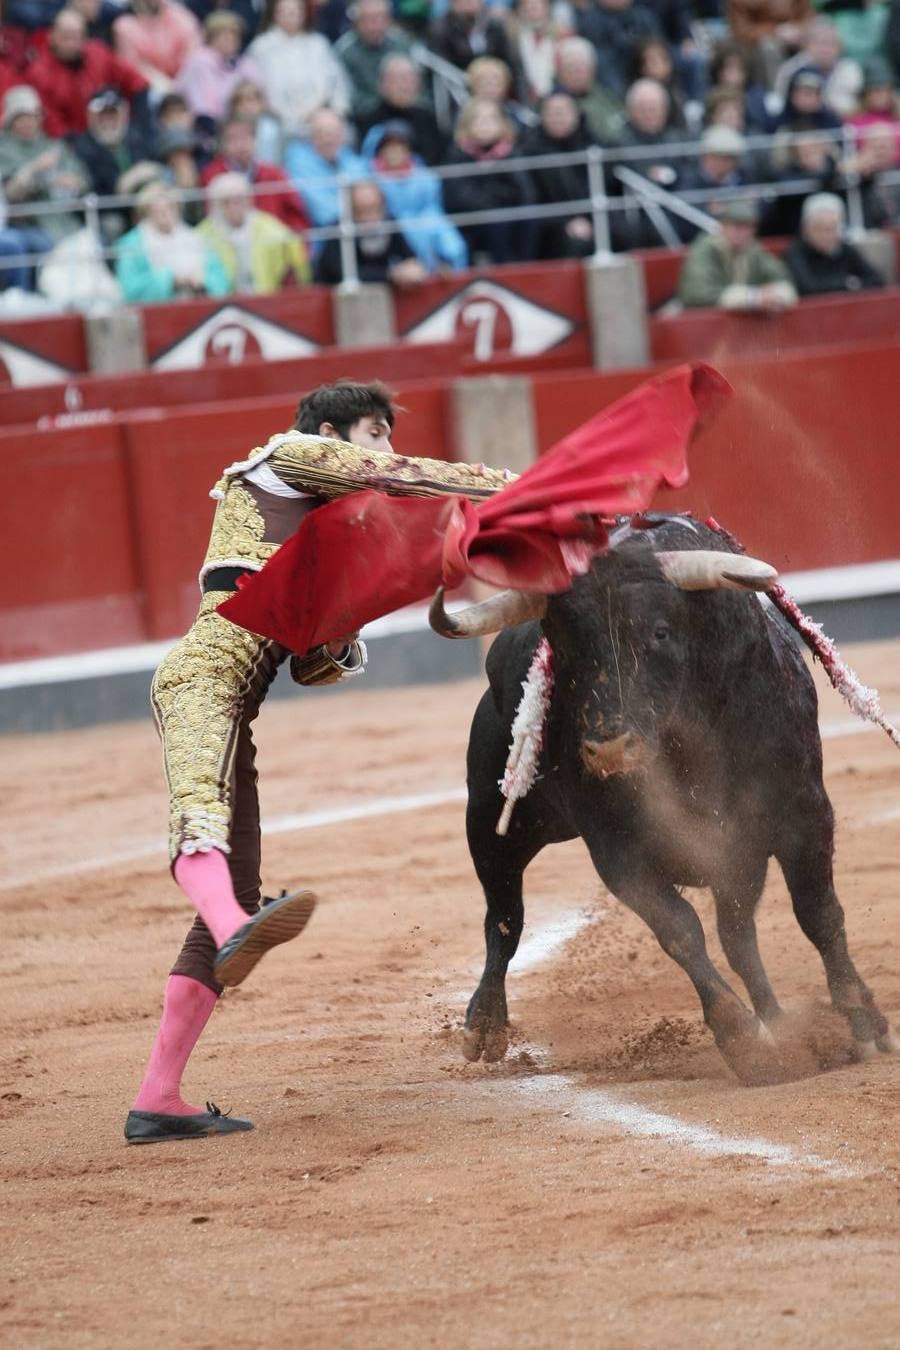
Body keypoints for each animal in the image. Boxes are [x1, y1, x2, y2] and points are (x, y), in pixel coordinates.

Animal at [442, 518, 895, 1085]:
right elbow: (680, 931)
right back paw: (484, 1024)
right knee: (504, 917)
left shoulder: (804, 814)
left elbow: (818, 914)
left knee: (739, 936)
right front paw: (744, 1041)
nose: (609, 749)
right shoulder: (619, 853)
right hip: (490, 820)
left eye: (659, 632)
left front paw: (863, 1022)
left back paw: (780, 1021)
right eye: (562, 643)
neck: (687, 741)